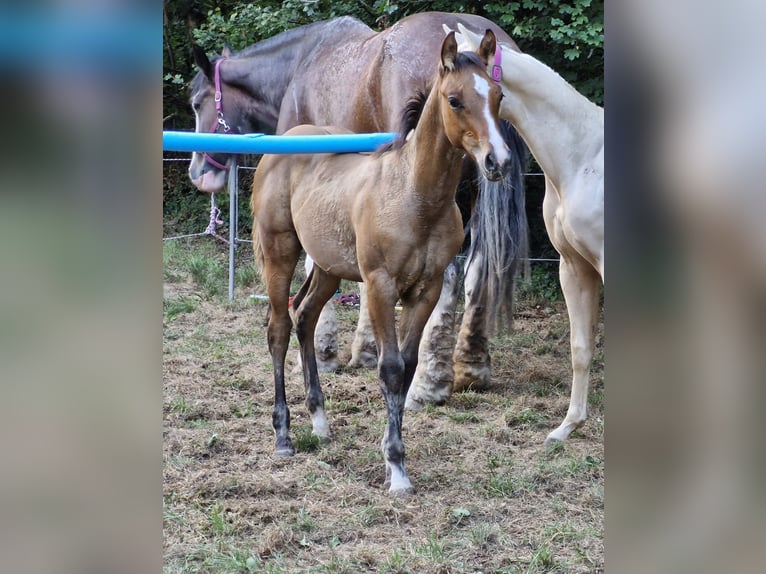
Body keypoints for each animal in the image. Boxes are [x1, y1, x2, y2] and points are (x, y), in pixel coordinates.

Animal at [189, 12, 532, 410]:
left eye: (196, 103)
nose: (198, 172)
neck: (300, 66)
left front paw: (325, 351)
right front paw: (366, 349)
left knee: (450, 277)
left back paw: (428, 383)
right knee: (479, 270)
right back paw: (471, 368)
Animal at [255, 31, 512, 498]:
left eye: (498, 96)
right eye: (454, 100)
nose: (497, 162)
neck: (415, 197)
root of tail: (284, 143)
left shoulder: (426, 290)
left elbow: (407, 369)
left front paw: (396, 460)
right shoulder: (379, 286)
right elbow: (390, 369)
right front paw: (396, 470)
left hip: (328, 268)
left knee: (304, 317)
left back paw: (320, 423)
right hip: (280, 253)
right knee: (279, 329)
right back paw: (283, 436)